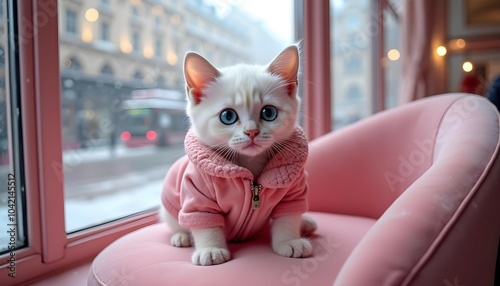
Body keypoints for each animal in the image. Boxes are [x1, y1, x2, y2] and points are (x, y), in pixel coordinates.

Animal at [161, 44, 316, 266]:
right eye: (228, 116)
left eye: (269, 113)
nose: (252, 132)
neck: (249, 166)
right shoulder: (196, 194)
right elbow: (204, 221)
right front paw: (210, 249)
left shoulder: (293, 191)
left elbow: (288, 216)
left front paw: (289, 241)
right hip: (169, 209)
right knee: (176, 223)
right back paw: (181, 236)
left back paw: (305, 222)